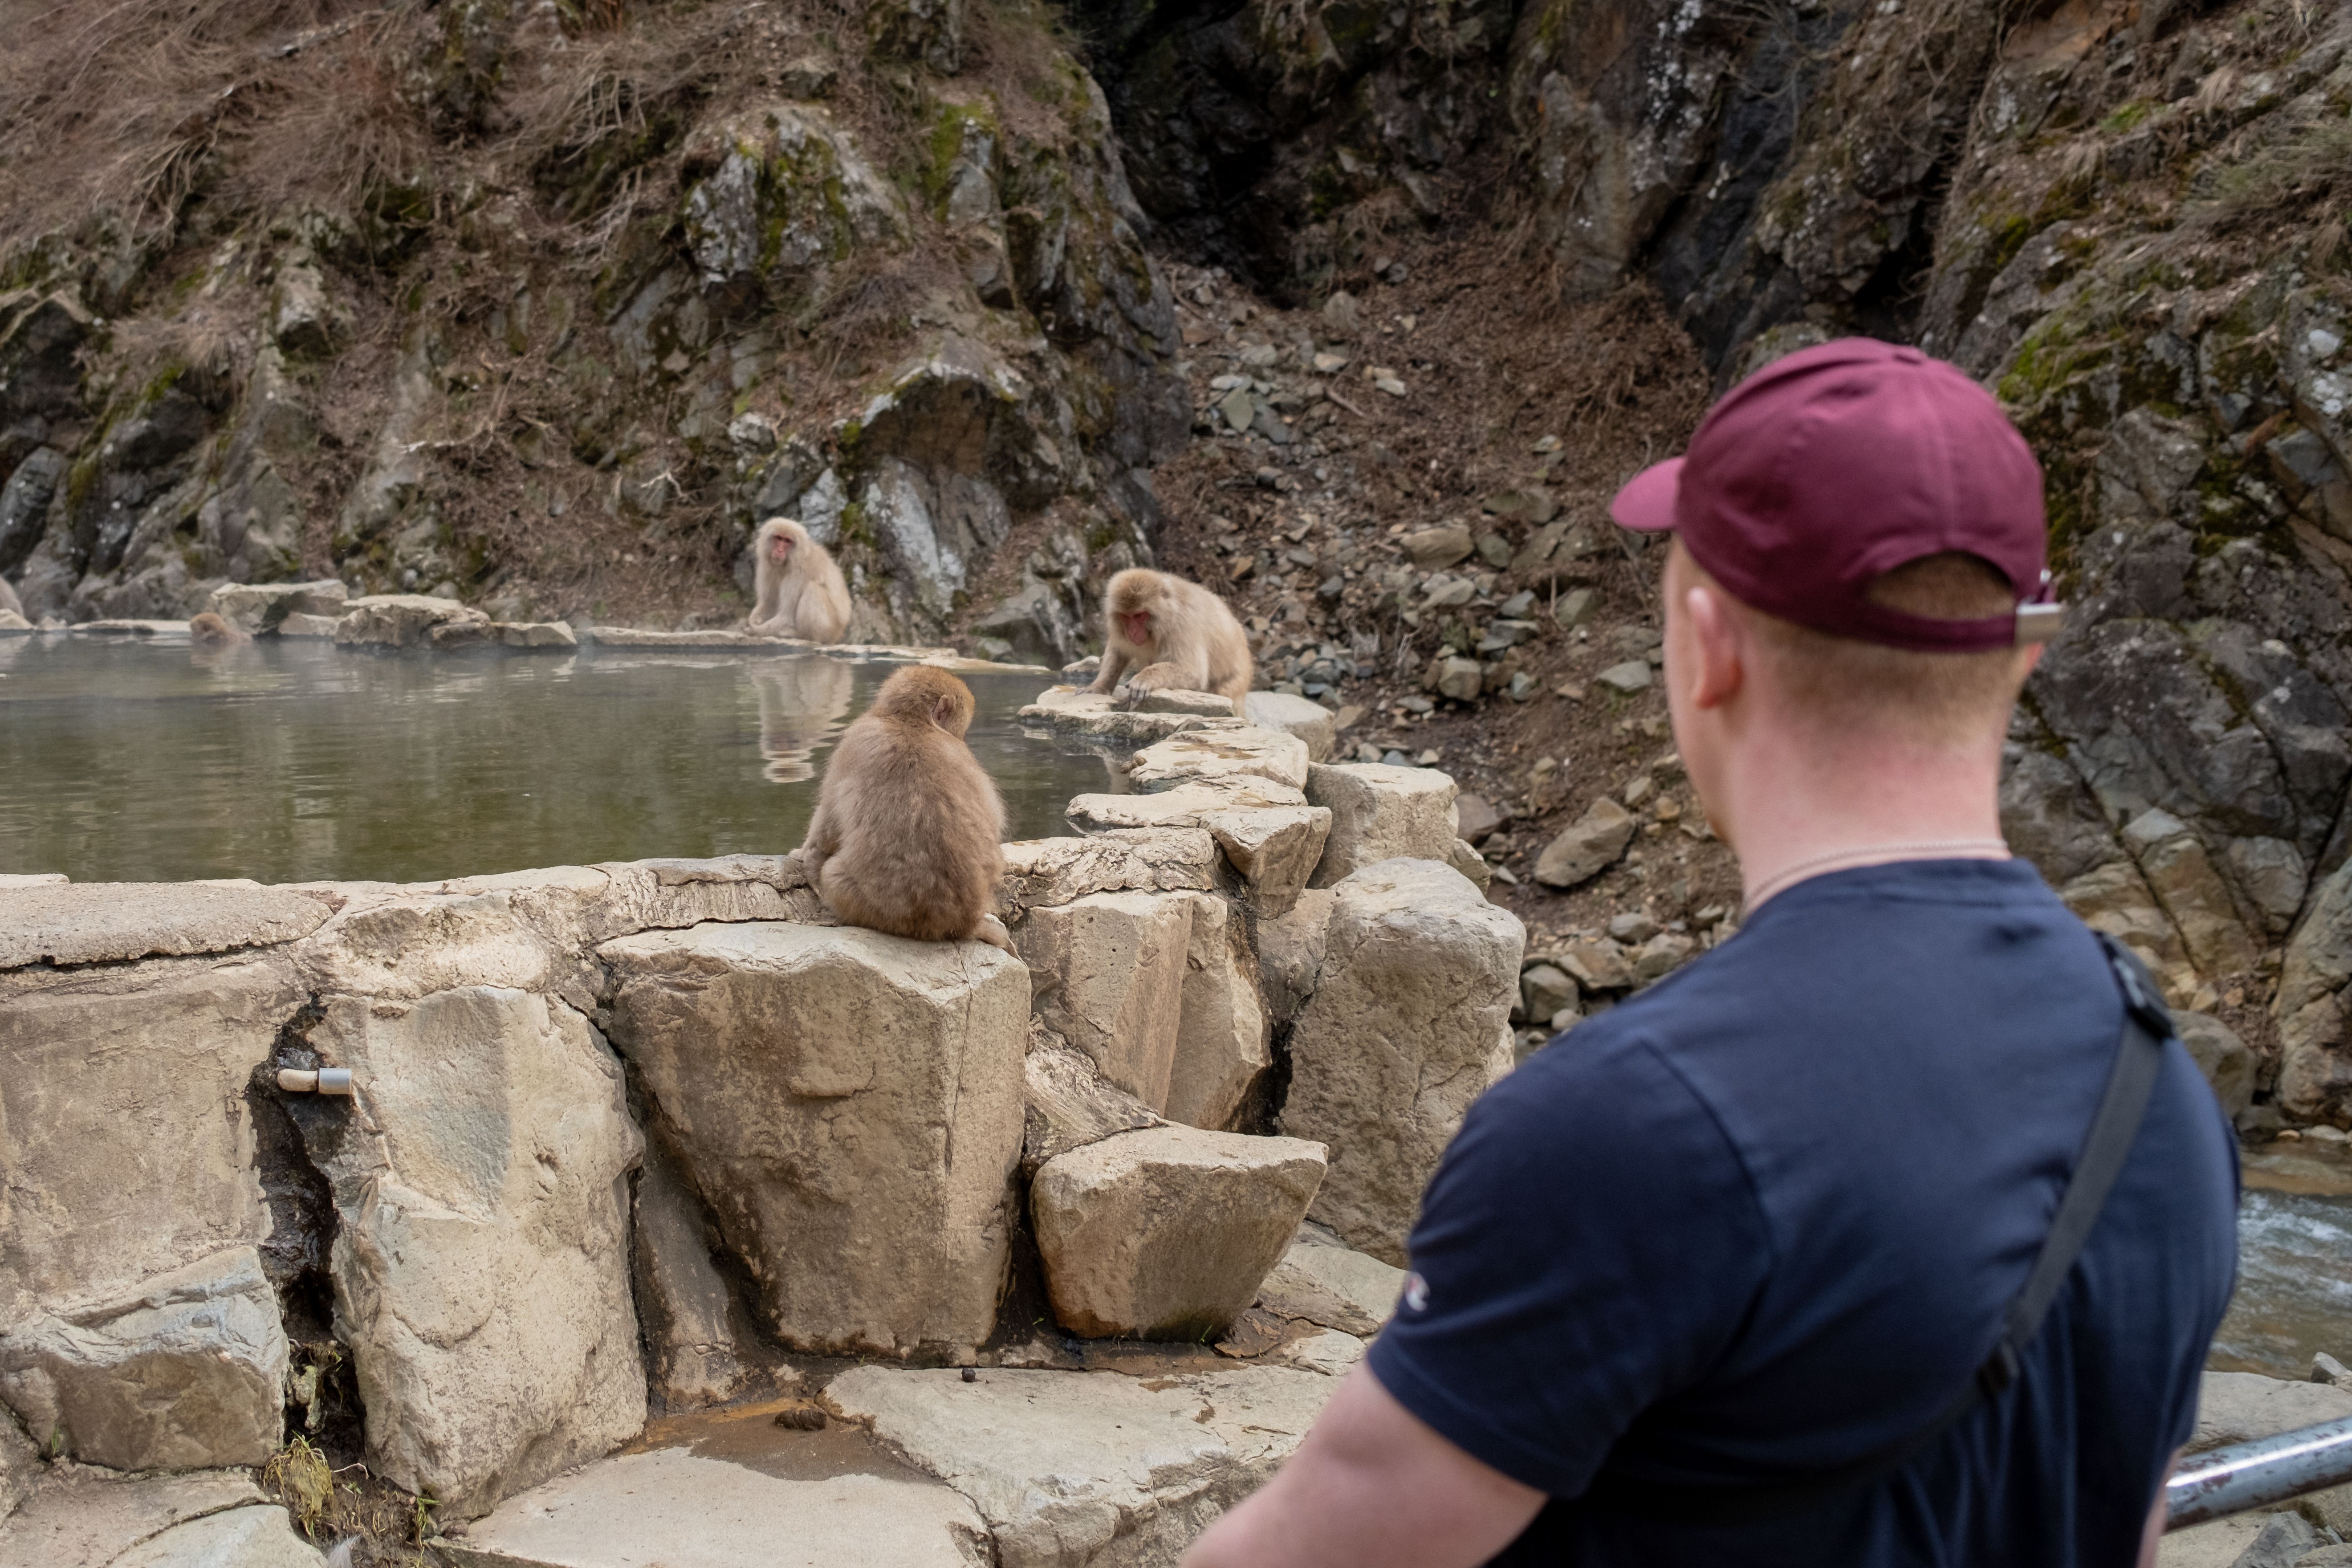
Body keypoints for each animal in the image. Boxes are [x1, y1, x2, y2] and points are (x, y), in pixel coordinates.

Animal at [748, 518, 853, 644]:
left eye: (788, 541)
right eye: (779, 538)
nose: (780, 550)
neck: (788, 563)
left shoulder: (799, 573)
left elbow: (786, 616)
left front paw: (756, 630)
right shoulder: (767, 567)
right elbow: (769, 604)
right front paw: (754, 619)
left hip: (831, 629)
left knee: (813, 590)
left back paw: (802, 635)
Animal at [798, 665, 1014, 951]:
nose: (962, 737)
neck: (910, 722)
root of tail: (961, 924)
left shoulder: (854, 741)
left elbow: (829, 821)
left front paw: (804, 856)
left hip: (873, 909)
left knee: (832, 874)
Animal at [1087, 568, 1254, 714]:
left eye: (1139, 615)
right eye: (1126, 617)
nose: (1133, 632)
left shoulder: (1183, 623)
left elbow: (1193, 672)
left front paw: (1144, 678)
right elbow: (1118, 650)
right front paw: (1099, 686)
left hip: (1237, 681)